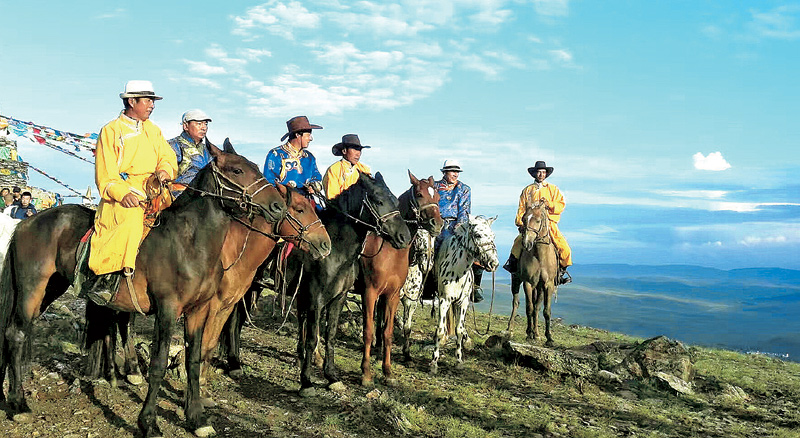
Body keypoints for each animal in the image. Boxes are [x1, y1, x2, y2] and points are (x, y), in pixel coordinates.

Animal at [0, 142, 288, 436]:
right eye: (237, 170)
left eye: (254, 167)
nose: (278, 205)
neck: (189, 243)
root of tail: (26, 222)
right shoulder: (168, 309)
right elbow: (158, 364)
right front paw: (148, 422)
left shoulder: (198, 311)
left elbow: (193, 362)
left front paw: (196, 418)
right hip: (32, 289)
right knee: (16, 334)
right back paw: (19, 404)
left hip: (50, 289)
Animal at [290, 173, 410, 396]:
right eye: (378, 201)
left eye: (396, 202)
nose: (404, 237)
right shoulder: (325, 297)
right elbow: (365, 332)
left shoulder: (383, 295)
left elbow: (334, 334)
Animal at [356, 169, 444, 384]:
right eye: (419, 194)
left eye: (437, 197)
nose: (437, 224)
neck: (390, 251)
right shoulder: (369, 293)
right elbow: (369, 330)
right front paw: (366, 372)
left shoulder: (393, 295)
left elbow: (389, 331)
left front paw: (387, 371)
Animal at [428, 215, 496, 372]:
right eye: (478, 235)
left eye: (493, 236)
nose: (494, 263)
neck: (458, 269)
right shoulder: (444, 300)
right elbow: (440, 330)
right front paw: (434, 362)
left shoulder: (463, 302)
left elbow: (459, 329)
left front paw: (459, 359)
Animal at [510, 200, 560, 348]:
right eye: (524, 219)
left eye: (538, 220)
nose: (527, 243)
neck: (540, 256)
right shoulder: (528, 283)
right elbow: (529, 308)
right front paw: (528, 334)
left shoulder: (548, 285)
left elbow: (545, 311)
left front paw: (549, 338)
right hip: (516, 280)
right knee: (516, 303)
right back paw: (511, 330)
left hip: (540, 288)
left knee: (537, 307)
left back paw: (536, 333)